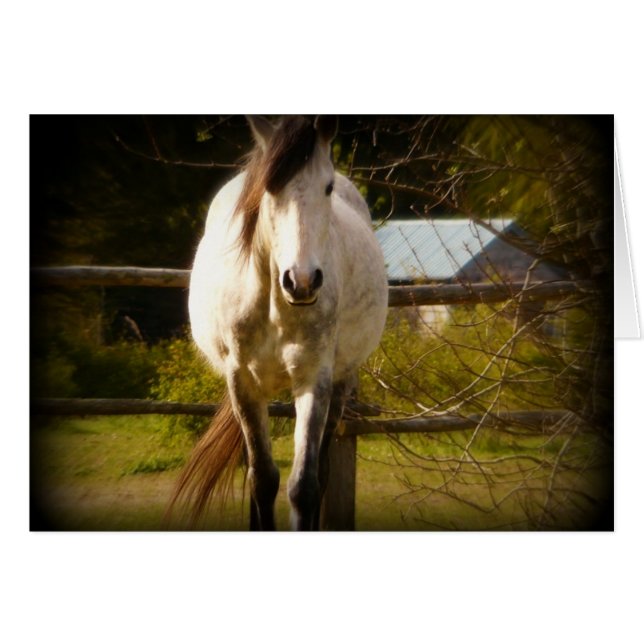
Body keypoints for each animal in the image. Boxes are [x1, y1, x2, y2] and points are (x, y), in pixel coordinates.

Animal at [168, 115, 388, 530]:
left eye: (327, 187)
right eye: (269, 188)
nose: (301, 281)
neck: (274, 305)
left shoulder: (315, 380)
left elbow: (303, 485)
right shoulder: (242, 383)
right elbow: (262, 479)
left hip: (341, 382)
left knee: (322, 471)